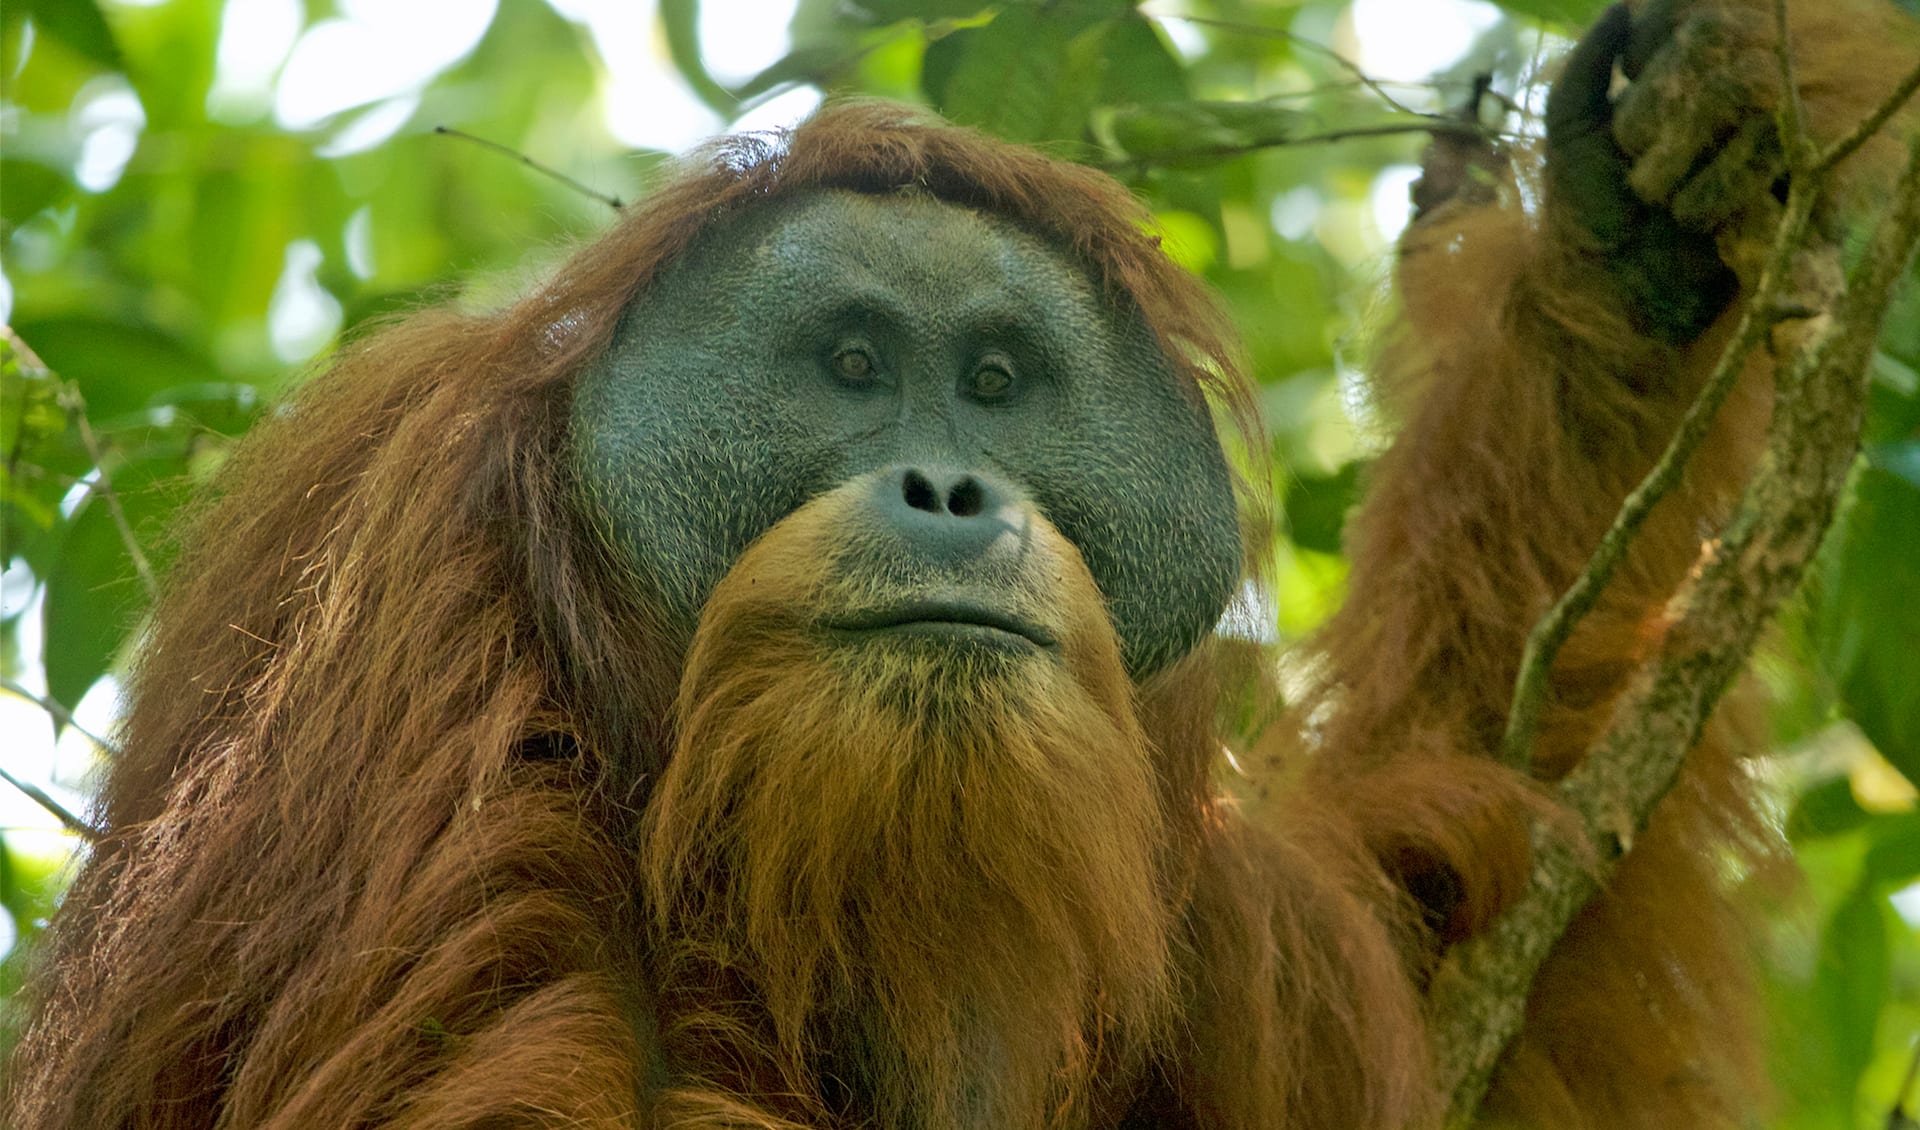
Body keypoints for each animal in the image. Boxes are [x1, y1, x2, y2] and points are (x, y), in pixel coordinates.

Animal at [4, 1, 1915, 1127]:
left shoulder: (1203, 912)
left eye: (995, 382)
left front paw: (1644, 227)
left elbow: (1457, 946)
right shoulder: (402, 594)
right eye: (852, 365)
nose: (944, 482)